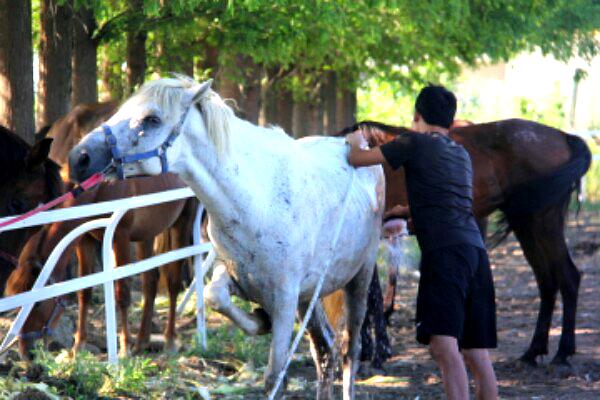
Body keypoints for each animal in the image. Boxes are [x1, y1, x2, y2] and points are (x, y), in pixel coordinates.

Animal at [67, 76, 384, 400]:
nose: (79, 158)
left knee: (349, 351)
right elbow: (214, 296)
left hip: (358, 280)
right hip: (309, 296)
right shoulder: (234, 274)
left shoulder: (284, 299)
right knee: (324, 349)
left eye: (152, 119)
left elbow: (274, 377)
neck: (257, 199)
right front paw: (259, 321)